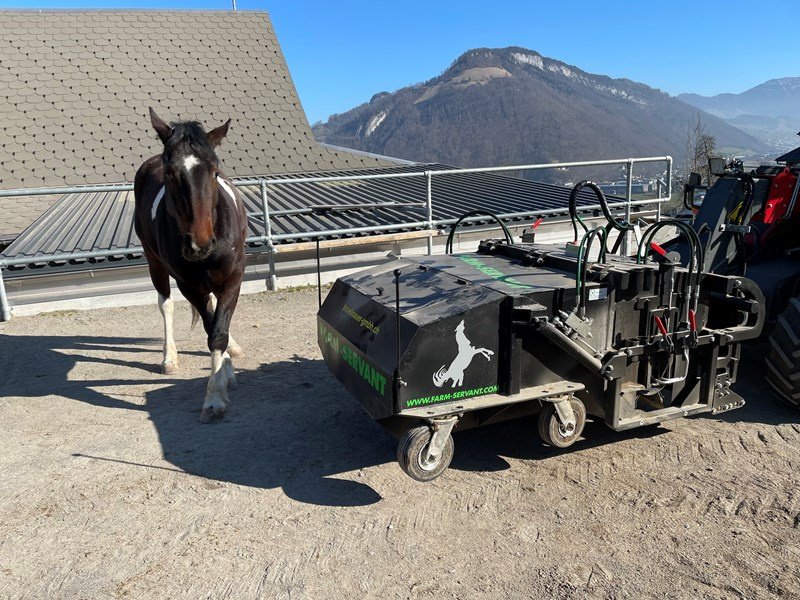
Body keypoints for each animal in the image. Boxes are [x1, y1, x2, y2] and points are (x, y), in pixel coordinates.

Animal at [134, 109, 247, 426]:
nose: (199, 244)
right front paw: (215, 396)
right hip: (155, 264)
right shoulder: (189, 285)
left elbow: (219, 330)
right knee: (166, 304)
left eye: (215, 171)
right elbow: (211, 329)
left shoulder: (234, 277)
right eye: (170, 172)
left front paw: (219, 386)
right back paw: (170, 358)